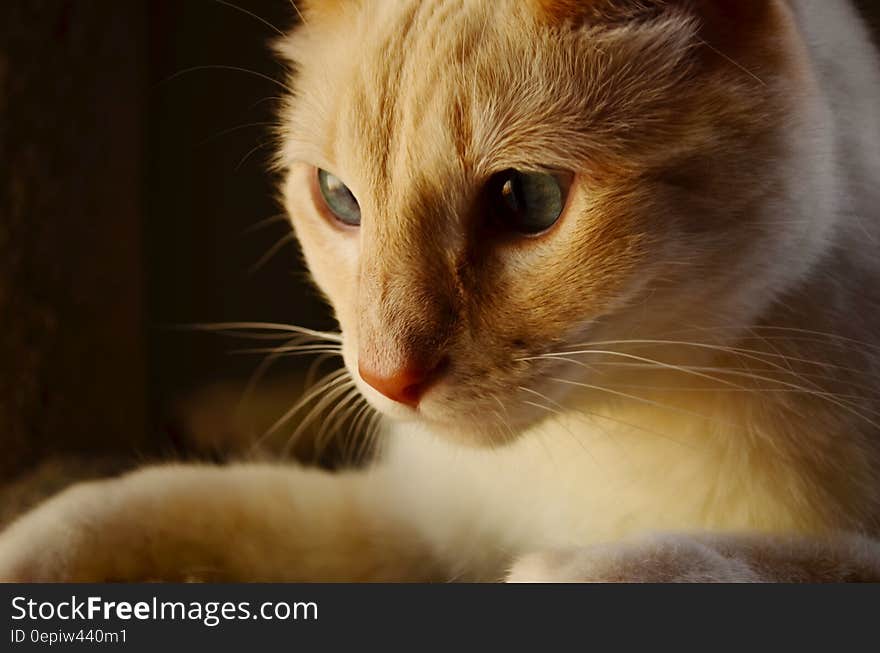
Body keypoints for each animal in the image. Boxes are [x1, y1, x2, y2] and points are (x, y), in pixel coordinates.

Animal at [1, 0, 880, 580]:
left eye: (529, 200)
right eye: (339, 199)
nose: (388, 378)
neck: (590, 439)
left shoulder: (833, 548)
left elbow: (707, 558)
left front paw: (553, 569)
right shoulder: (409, 524)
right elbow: (121, 507)